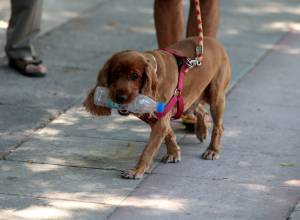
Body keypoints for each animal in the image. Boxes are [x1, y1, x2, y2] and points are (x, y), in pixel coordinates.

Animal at [83, 37, 231, 180]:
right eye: (115, 74)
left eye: (135, 76)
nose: (120, 97)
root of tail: (214, 42)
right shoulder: (155, 117)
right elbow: (169, 134)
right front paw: (174, 152)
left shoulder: (160, 119)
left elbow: (149, 149)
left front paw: (137, 171)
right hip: (190, 98)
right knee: (201, 110)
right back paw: (201, 131)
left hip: (216, 97)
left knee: (218, 127)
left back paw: (212, 150)